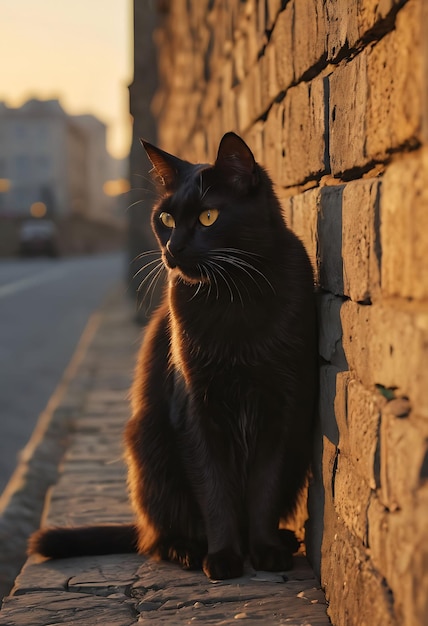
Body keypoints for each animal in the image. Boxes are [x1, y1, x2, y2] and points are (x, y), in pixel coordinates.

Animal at [29, 134, 318, 576]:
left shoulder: (281, 408)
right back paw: (187, 550)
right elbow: (214, 490)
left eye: (208, 217)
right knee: (156, 537)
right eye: (165, 219)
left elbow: (264, 489)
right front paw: (224, 558)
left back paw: (281, 538)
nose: (174, 248)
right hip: (148, 441)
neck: (232, 295)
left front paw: (266, 550)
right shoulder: (194, 406)